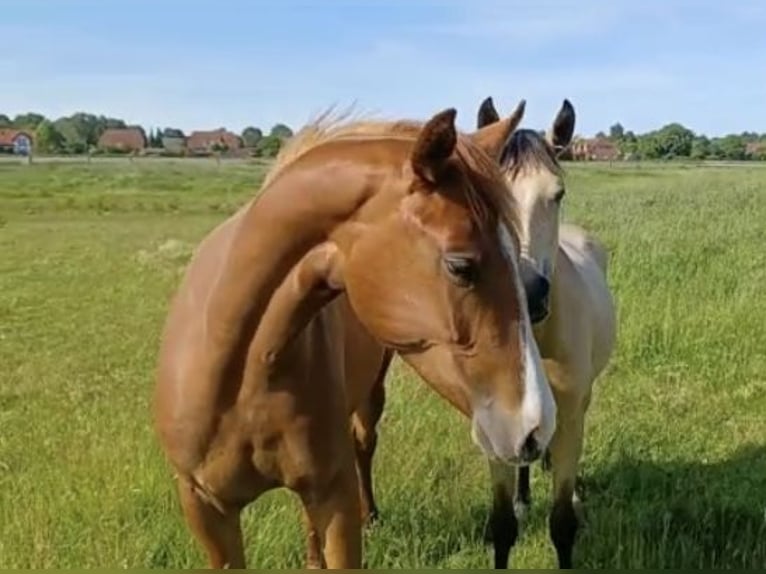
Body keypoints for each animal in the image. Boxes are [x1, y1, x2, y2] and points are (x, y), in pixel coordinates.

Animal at [152, 106, 560, 568]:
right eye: (461, 266)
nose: (537, 424)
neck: (244, 371)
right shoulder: (205, 506)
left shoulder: (335, 496)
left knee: (362, 446)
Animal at [352, 100, 616, 572]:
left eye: (558, 194)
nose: (530, 293)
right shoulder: (498, 428)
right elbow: (502, 525)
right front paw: (516, 506)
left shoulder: (568, 417)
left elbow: (563, 523)